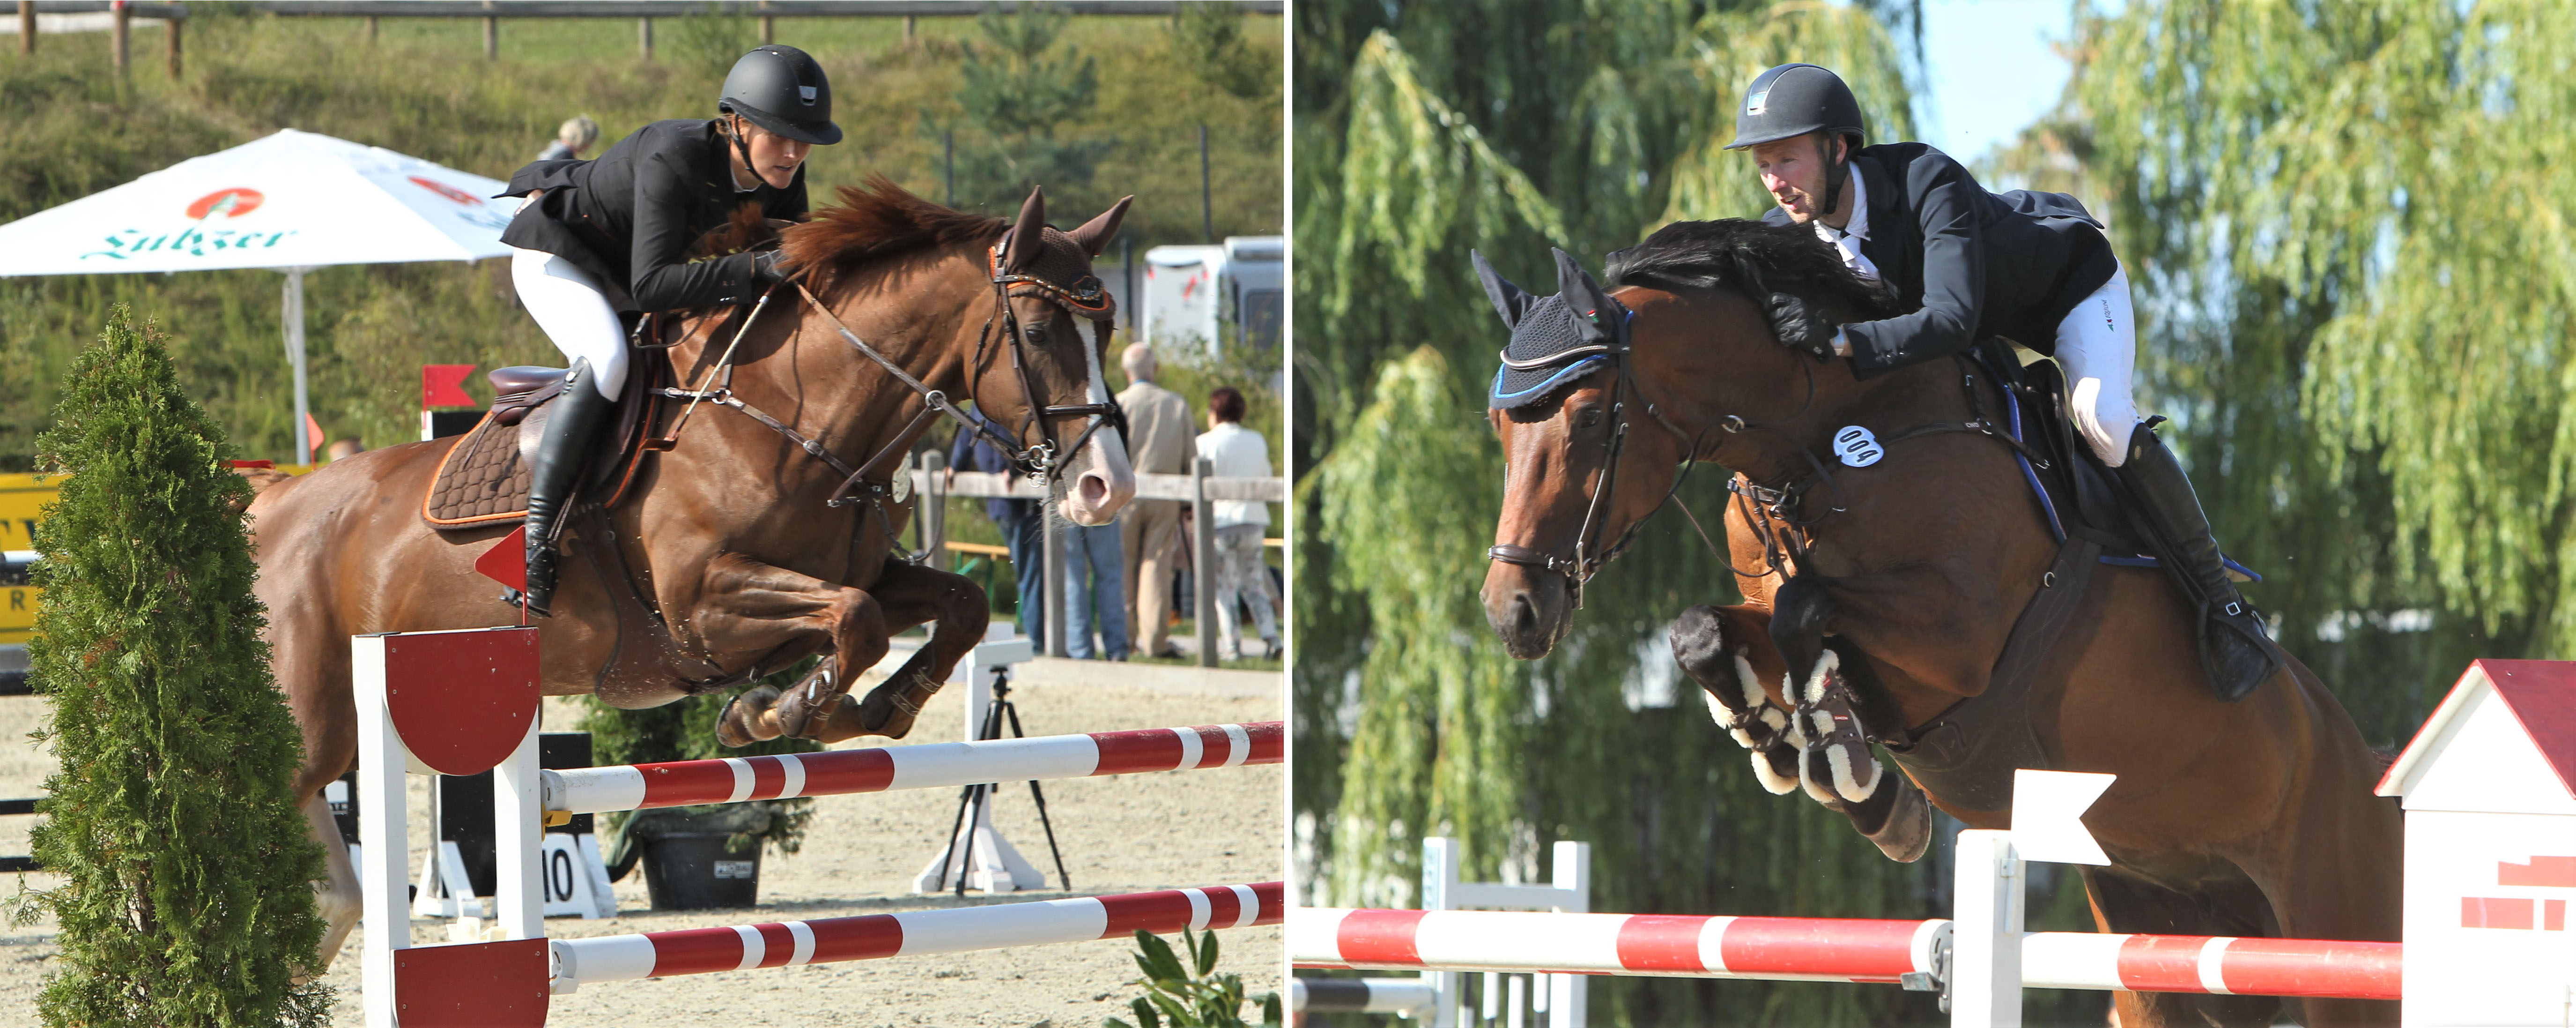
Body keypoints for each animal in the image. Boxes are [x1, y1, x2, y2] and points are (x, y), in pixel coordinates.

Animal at [251, 179, 1139, 974]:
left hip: (334, 738)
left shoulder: (858, 575)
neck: (797, 413)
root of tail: (268, 505)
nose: (1109, 489)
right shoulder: (700, 606)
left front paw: (879, 704)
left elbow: (955, 605)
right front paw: (779, 710)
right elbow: (854, 620)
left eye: (1108, 329)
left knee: (333, 889)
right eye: (1037, 328)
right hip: (310, 727)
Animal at [1484, 228, 2401, 1028]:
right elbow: (1708, 630)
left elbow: (1807, 613)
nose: (1512, 610)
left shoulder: (1955, 637)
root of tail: (2367, 760)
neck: (1830, 443)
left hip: (2338, 942)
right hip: (2162, 956)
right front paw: (1786, 742)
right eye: (1500, 426)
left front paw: (1857, 779)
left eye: (1591, 417)